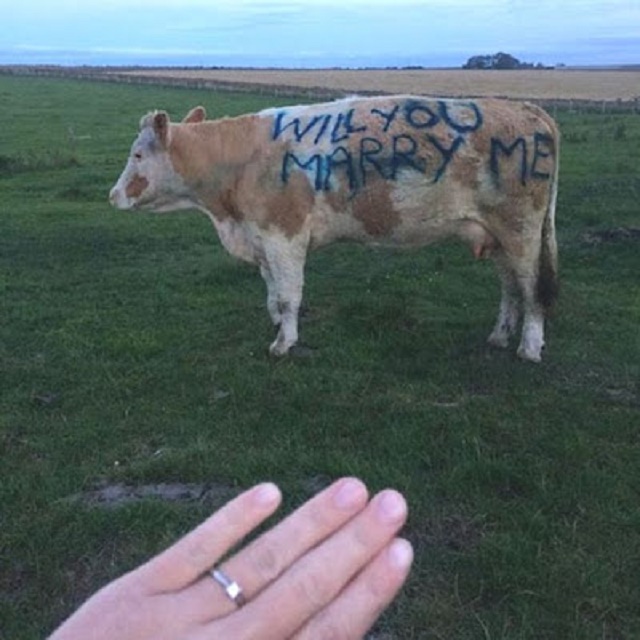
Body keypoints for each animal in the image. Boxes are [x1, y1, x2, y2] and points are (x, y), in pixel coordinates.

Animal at [109, 95, 559, 362]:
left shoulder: (284, 235)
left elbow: (288, 295)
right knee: (510, 288)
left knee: (531, 288)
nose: (113, 195)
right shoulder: (261, 239)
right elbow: (272, 295)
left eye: (137, 154)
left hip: (522, 230)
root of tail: (527, 109)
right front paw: (278, 326)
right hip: (496, 234)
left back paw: (529, 346)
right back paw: (499, 336)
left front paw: (284, 343)